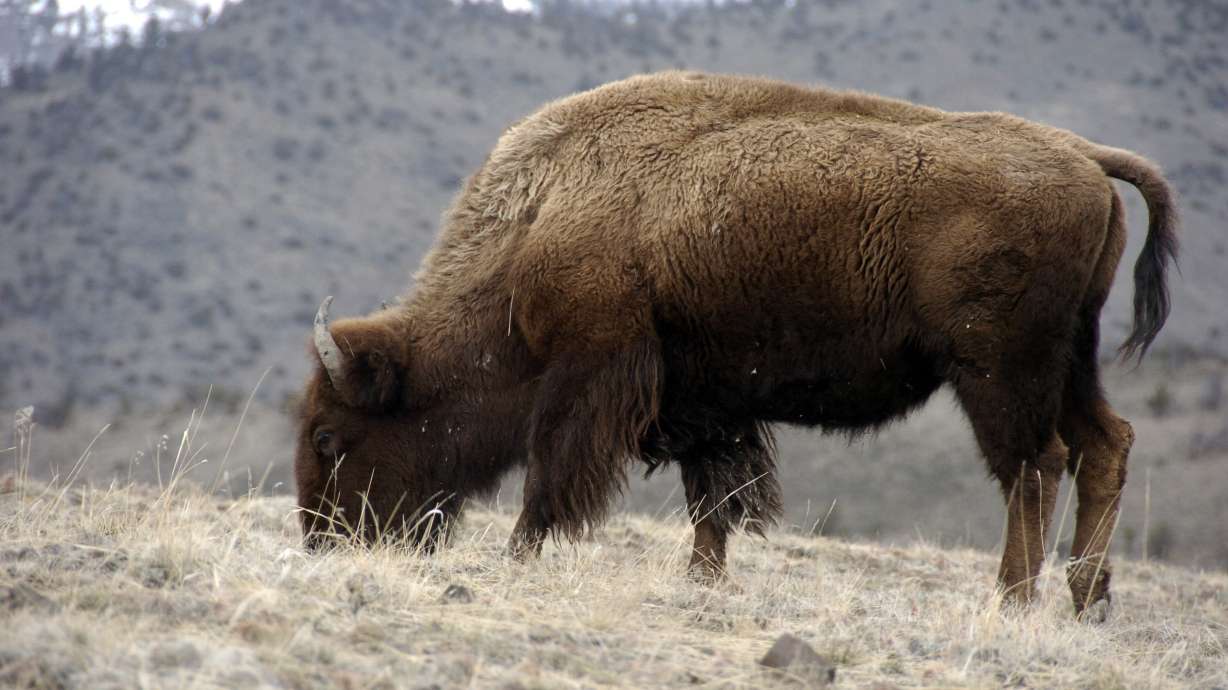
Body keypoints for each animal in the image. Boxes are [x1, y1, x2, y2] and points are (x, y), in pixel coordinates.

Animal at [294, 71, 1176, 616]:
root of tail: (1084, 155)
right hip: (1072, 360)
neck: (541, 218)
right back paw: (1085, 599)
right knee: (1105, 444)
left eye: (330, 437)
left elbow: (551, 481)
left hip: (999, 370)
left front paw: (519, 558)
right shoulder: (704, 399)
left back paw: (1014, 599)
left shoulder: (591, 374)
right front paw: (704, 580)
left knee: (1035, 465)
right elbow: (715, 498)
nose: (321, 542)